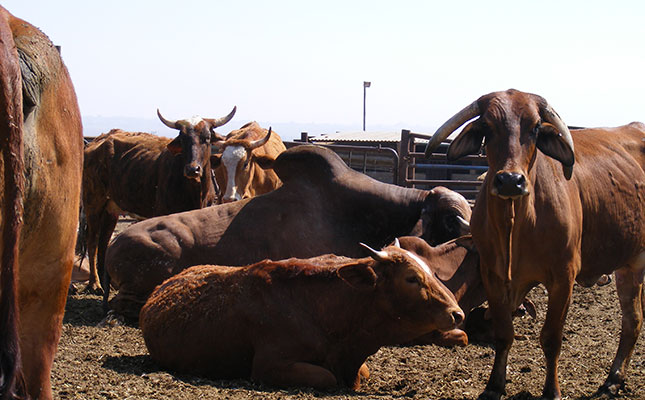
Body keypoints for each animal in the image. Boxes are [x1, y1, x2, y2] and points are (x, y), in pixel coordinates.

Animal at [81, 106, 234, 294]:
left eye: (206, 138)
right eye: (182, 139)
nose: (192, 169)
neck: (195, 191)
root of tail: (98, 141)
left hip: (111, 208)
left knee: (104, 241)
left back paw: (105, 283)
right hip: (93, 203)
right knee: (93, 241)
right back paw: (94, 283)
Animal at [422, 88, 644, 400]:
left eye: (536, 127)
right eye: (487, 127)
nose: (510, 181)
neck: (516, 226)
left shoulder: (563, 278)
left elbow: (551, 338)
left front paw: (552, 390)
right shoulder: (493, 277)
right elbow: (504, 334)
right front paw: (494, 385)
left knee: (631, 321)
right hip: (628, 264)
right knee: (632, 320)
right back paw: (613, 379)